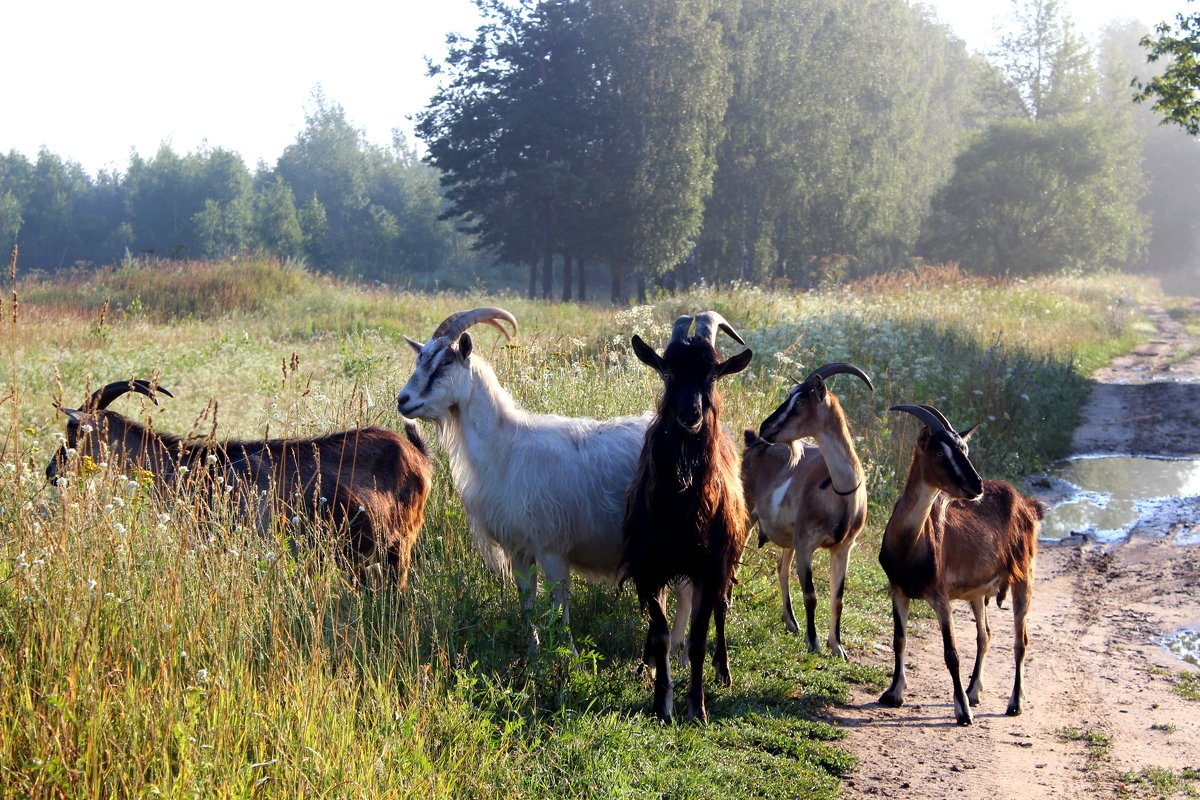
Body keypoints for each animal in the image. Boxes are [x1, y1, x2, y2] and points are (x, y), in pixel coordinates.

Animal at [619, 309, 748, 724]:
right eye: (667, 372)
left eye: (712, 375)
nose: (689, 414)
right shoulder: (648, 565)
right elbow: (660, 632)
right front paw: (662, 702)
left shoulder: (711, 566)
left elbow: (697, 638)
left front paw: (697, 706)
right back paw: (644, 666)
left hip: (729, 561)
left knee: (722, 610)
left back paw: (723, 671)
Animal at [739, 362, 873, 657]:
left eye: (800, 401)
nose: (766, 427)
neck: (840, 491)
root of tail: (752, 444)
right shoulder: (806, 541)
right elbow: (811, 594)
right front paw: (813, 643)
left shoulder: (843, 547)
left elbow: (838, 597)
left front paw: (837, 647)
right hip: (748, 515)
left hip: (789, 537)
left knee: (782, 568)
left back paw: (791, 622)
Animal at [878, 407, 1046, 724]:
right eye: (940, 452)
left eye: (964, 449)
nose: (976, 485)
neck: (910, 543)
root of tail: (1027, 504)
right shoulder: (898, 589)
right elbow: (899, 640)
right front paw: (893, 694)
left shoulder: (940, 595)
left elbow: (951, 652)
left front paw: (962, 711)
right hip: (977, 592)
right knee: (985, 635)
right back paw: (973, 690)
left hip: (1024, 576)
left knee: (1021, 640)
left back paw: (1014, 703)